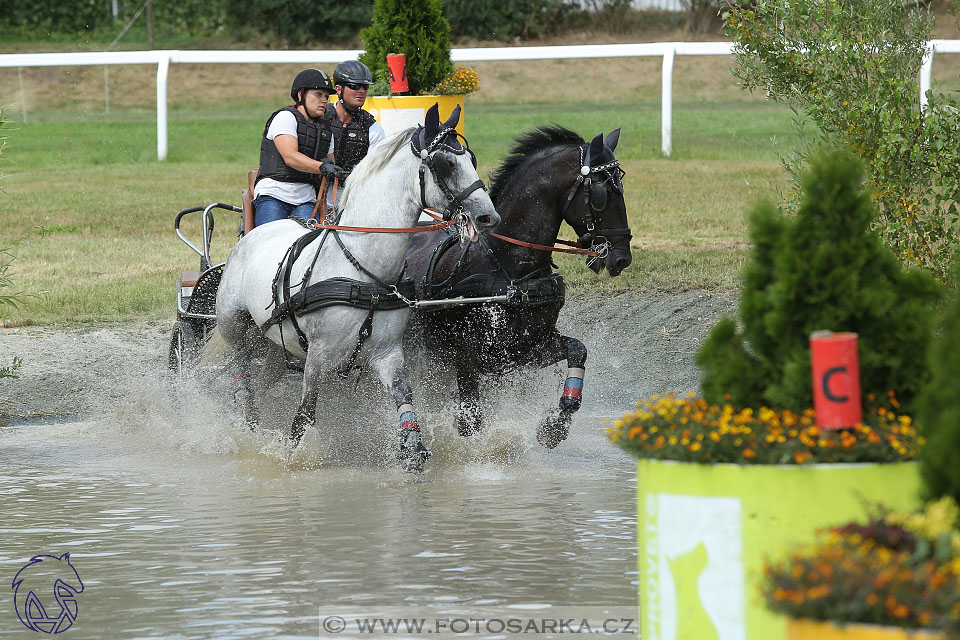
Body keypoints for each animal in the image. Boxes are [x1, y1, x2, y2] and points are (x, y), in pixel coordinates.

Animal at [404, 126, 632, 450]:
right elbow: (470, 421)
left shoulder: (526, 348)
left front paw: (554, 426)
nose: (622, 258)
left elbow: (578, 351)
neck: (510, 270)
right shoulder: (465, 354)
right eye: (602, 194)